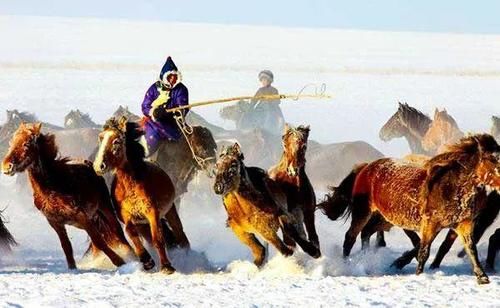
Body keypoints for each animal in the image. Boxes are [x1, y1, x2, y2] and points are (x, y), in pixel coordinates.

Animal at [342, 135, 500, 284]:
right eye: (492, 158)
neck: (451, 187)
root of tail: (366, 167)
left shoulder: (463, 224)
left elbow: (471, 248)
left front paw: (482, 277)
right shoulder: (430, 224)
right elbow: (423, 252)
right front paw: (419, 275)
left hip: (386, 219)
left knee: (366, 232)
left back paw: (366, 259)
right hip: (363, 212)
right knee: (350, 237)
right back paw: (345, 264)